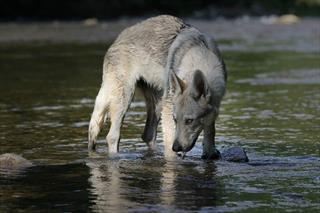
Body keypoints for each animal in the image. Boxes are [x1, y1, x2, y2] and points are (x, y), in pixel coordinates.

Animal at [88, 14, 228, 158]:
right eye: (175, 119)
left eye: (189, 121)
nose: (176, 147)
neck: (199, 56)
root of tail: (119, 37)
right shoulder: (169, 112)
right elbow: (170, 147)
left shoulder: (214, 107)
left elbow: (210, 131)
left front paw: (210, 152)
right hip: (126, 99)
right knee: (111, 136)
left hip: (157, 103)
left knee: (147, 135)